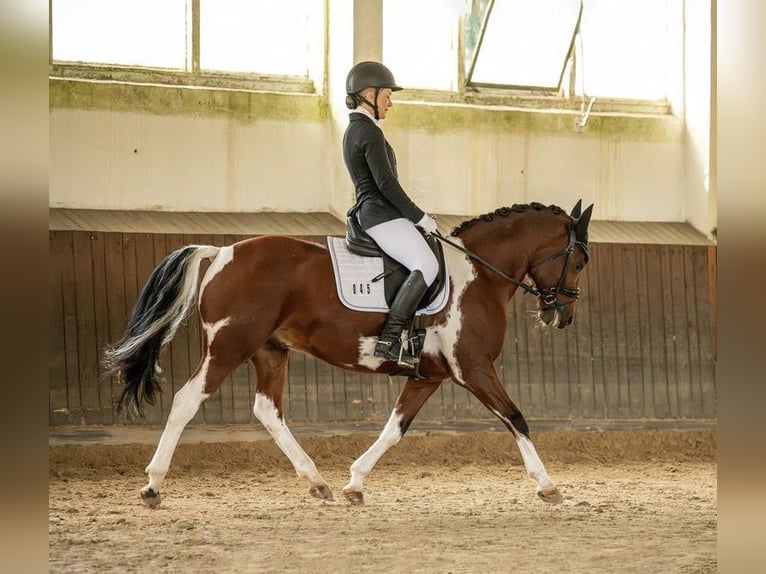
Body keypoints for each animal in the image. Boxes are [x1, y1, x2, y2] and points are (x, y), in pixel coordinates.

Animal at [103, 201, 592, 508]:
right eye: (579, 261)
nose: (563, 316)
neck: (479, 275)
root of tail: (224, 251)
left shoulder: (429, 376)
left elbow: (395, 429)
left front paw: (354, 483)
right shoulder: (473, 368)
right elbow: (516, 418)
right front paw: (547, 486)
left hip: (269, 351)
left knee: (268, 411)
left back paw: (316, 481)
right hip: (228, 346)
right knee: (187, 400)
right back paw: (152, 485)